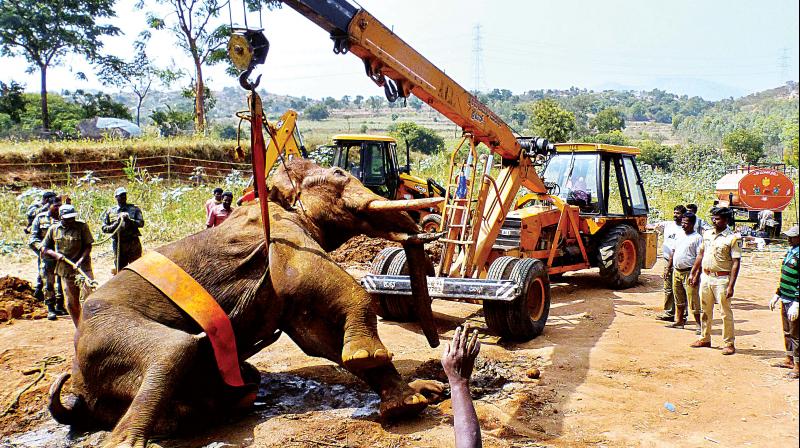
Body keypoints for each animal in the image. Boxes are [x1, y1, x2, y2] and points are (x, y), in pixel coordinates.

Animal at [49, 159, 444, 446]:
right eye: (339, 173)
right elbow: (313, 279)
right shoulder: (284, 236)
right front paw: (368, 355)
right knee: (174, 350)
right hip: (107, 333)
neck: (268, 195)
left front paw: (416, 399)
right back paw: (130, 441)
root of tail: (79, 395)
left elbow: (315, 337)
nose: (431, 224)